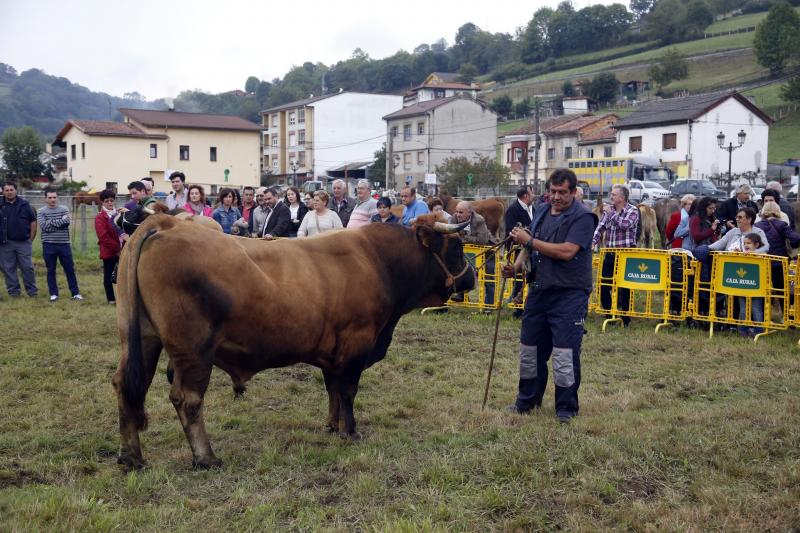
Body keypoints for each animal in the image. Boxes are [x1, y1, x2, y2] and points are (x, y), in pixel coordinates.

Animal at [113, 213, 476, 470]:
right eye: (458, 248)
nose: (472, 277)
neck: (378, 261)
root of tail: (168, 222)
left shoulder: (333, 351)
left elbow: (332, 388)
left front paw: (332, 425)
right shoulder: (355, 344)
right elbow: (348, 390)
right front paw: (350, 431)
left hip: (141, 338)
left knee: (126, 386)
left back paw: (131, 457)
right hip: (193, 350)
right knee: (187, 399)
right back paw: (206, 458)